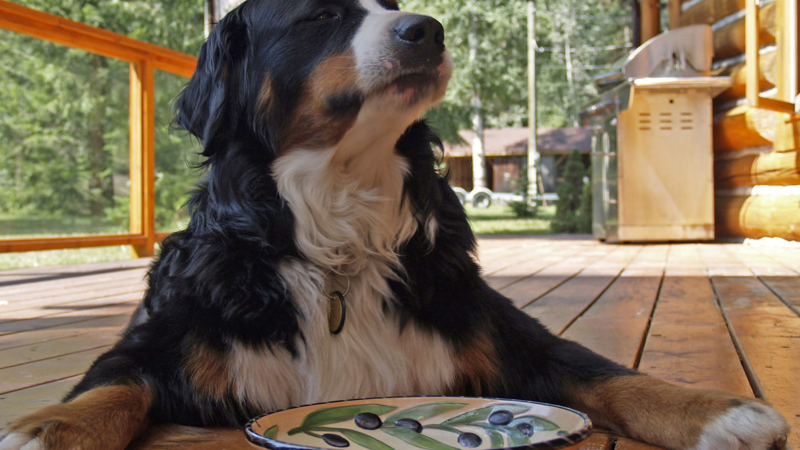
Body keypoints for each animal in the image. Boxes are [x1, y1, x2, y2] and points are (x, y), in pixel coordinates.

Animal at [0, 0, 792, 450]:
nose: (429, 30)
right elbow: (110, 389)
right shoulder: (161, 340)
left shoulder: (501, 331)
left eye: (393, 3)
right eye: (321, 16)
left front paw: (717, 411)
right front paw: (43, 428)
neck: (338, 232)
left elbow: (607, 373)